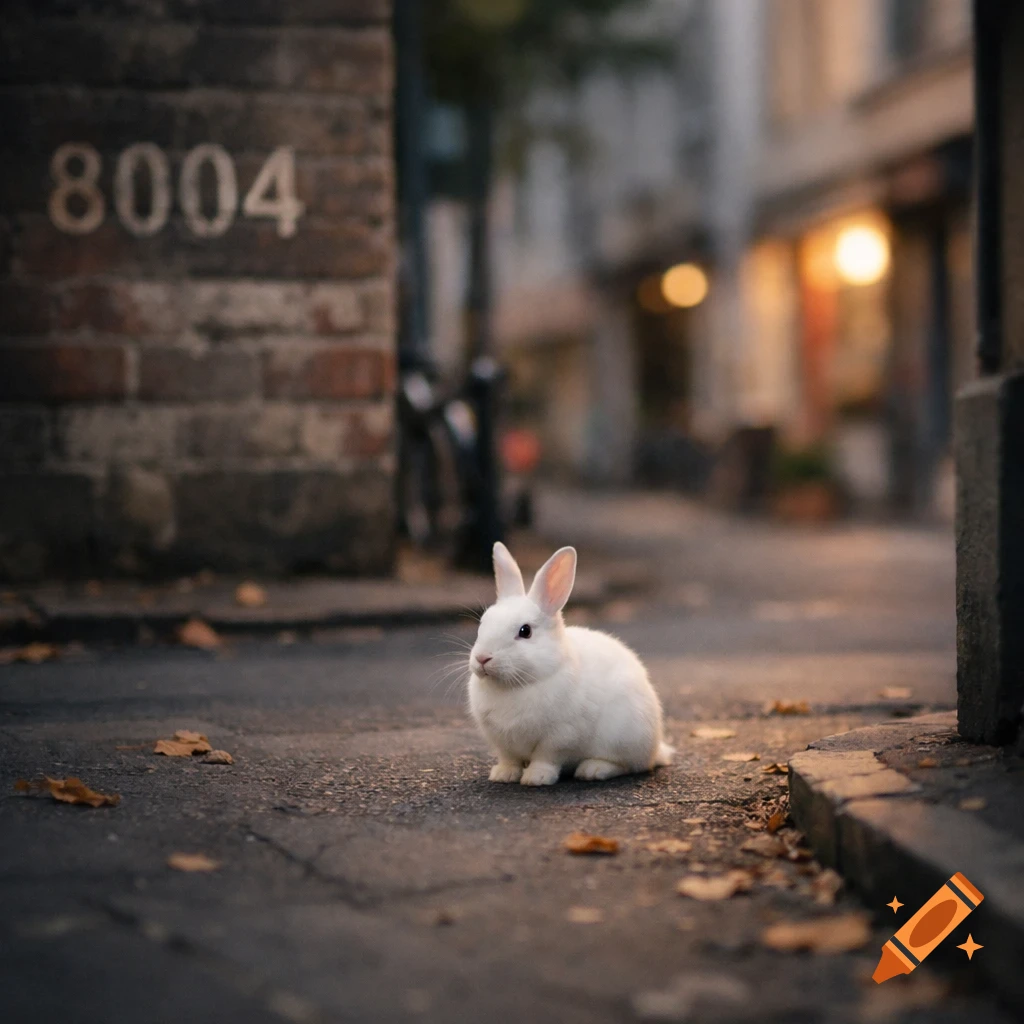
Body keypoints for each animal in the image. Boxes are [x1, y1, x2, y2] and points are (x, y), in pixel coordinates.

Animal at [467, 541, 673, 786]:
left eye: (525, 631)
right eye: (483, 623)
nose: (482, 658)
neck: (517, 684)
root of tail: (656, 748)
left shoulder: (560, 736)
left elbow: (546, 757)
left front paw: (536, 778)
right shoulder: (501, 741)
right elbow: (510, 759)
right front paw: (503, 775)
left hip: (624, 735)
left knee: (627, 765)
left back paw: (593, 770)